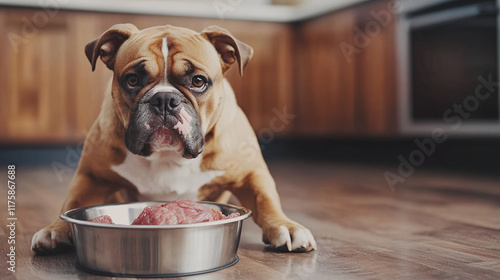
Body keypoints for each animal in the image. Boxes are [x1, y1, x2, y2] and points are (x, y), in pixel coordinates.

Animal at [31, 23, 316, 253]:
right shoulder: (91, 176)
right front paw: (56, 229)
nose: (165, 99)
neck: (166, 155)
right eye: (132, 80)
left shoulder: (251, 174)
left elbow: (266, 200)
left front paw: (285, 226)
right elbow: (73, 201)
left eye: (198, 81)